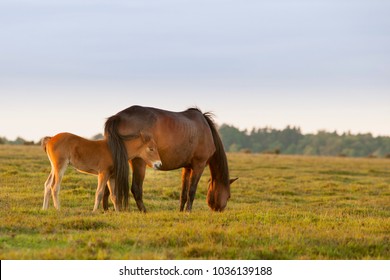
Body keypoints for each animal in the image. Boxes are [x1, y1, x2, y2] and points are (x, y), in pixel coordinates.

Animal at [104, 105, 238, 212]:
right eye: (229, 196)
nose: (219, 210)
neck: (206, 129)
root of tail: (117, 117)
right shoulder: (198, 166)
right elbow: (192, 191)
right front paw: (188, 211)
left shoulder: (187, 168)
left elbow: (184, 193)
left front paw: (181, 211)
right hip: (139, 163)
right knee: (136, 189)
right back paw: (144, 211)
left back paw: (105, 209)